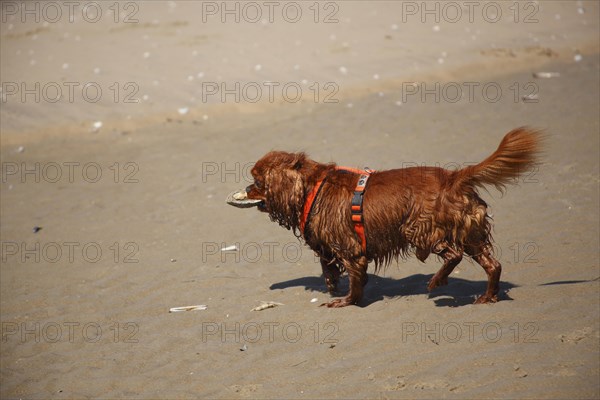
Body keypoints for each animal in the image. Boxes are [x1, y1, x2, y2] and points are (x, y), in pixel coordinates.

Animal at [227, 126, 540, 308]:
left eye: (257, 181)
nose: (246, 189)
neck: (314, 187)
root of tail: (453, 178)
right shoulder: (329, 245)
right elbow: (328, 267)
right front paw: (331, 286)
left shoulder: (350, 248)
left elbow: (354, 277)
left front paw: (346, 300)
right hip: (470, 233)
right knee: (493, 264)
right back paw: (488, 296)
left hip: (419, 229)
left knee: (453, 254)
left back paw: (436, 283)